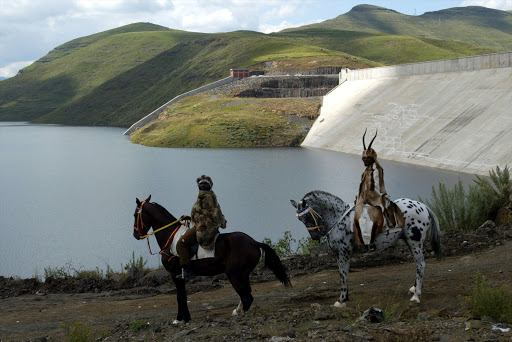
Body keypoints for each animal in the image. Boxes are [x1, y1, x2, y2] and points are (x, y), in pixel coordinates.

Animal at [132, 195, 292, 324]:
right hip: (242, 274)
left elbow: (180, 297)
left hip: (234, 274)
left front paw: (180, 319)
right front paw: (185, 317)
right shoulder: (179, 276)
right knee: (246, 295)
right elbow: (182, 296)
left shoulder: (175, 274)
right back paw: (237, 311)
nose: (135, 235)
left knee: (247, 296)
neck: (170, 237)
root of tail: (254, 242)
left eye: (135, 215)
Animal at [290, 190, 442, 308]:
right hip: (410, 243)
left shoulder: (343, 253)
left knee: (421, 265)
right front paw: (345, 297)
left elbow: (343, 275)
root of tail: (423, 206)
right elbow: (343, 274)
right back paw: (414, 289)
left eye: (307, 216)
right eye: (300, 219)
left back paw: (416, 296)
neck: (339, 218)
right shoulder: (339, 255)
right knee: (418, 265)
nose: (315, 236)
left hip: (415, 242)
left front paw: (341, 301)